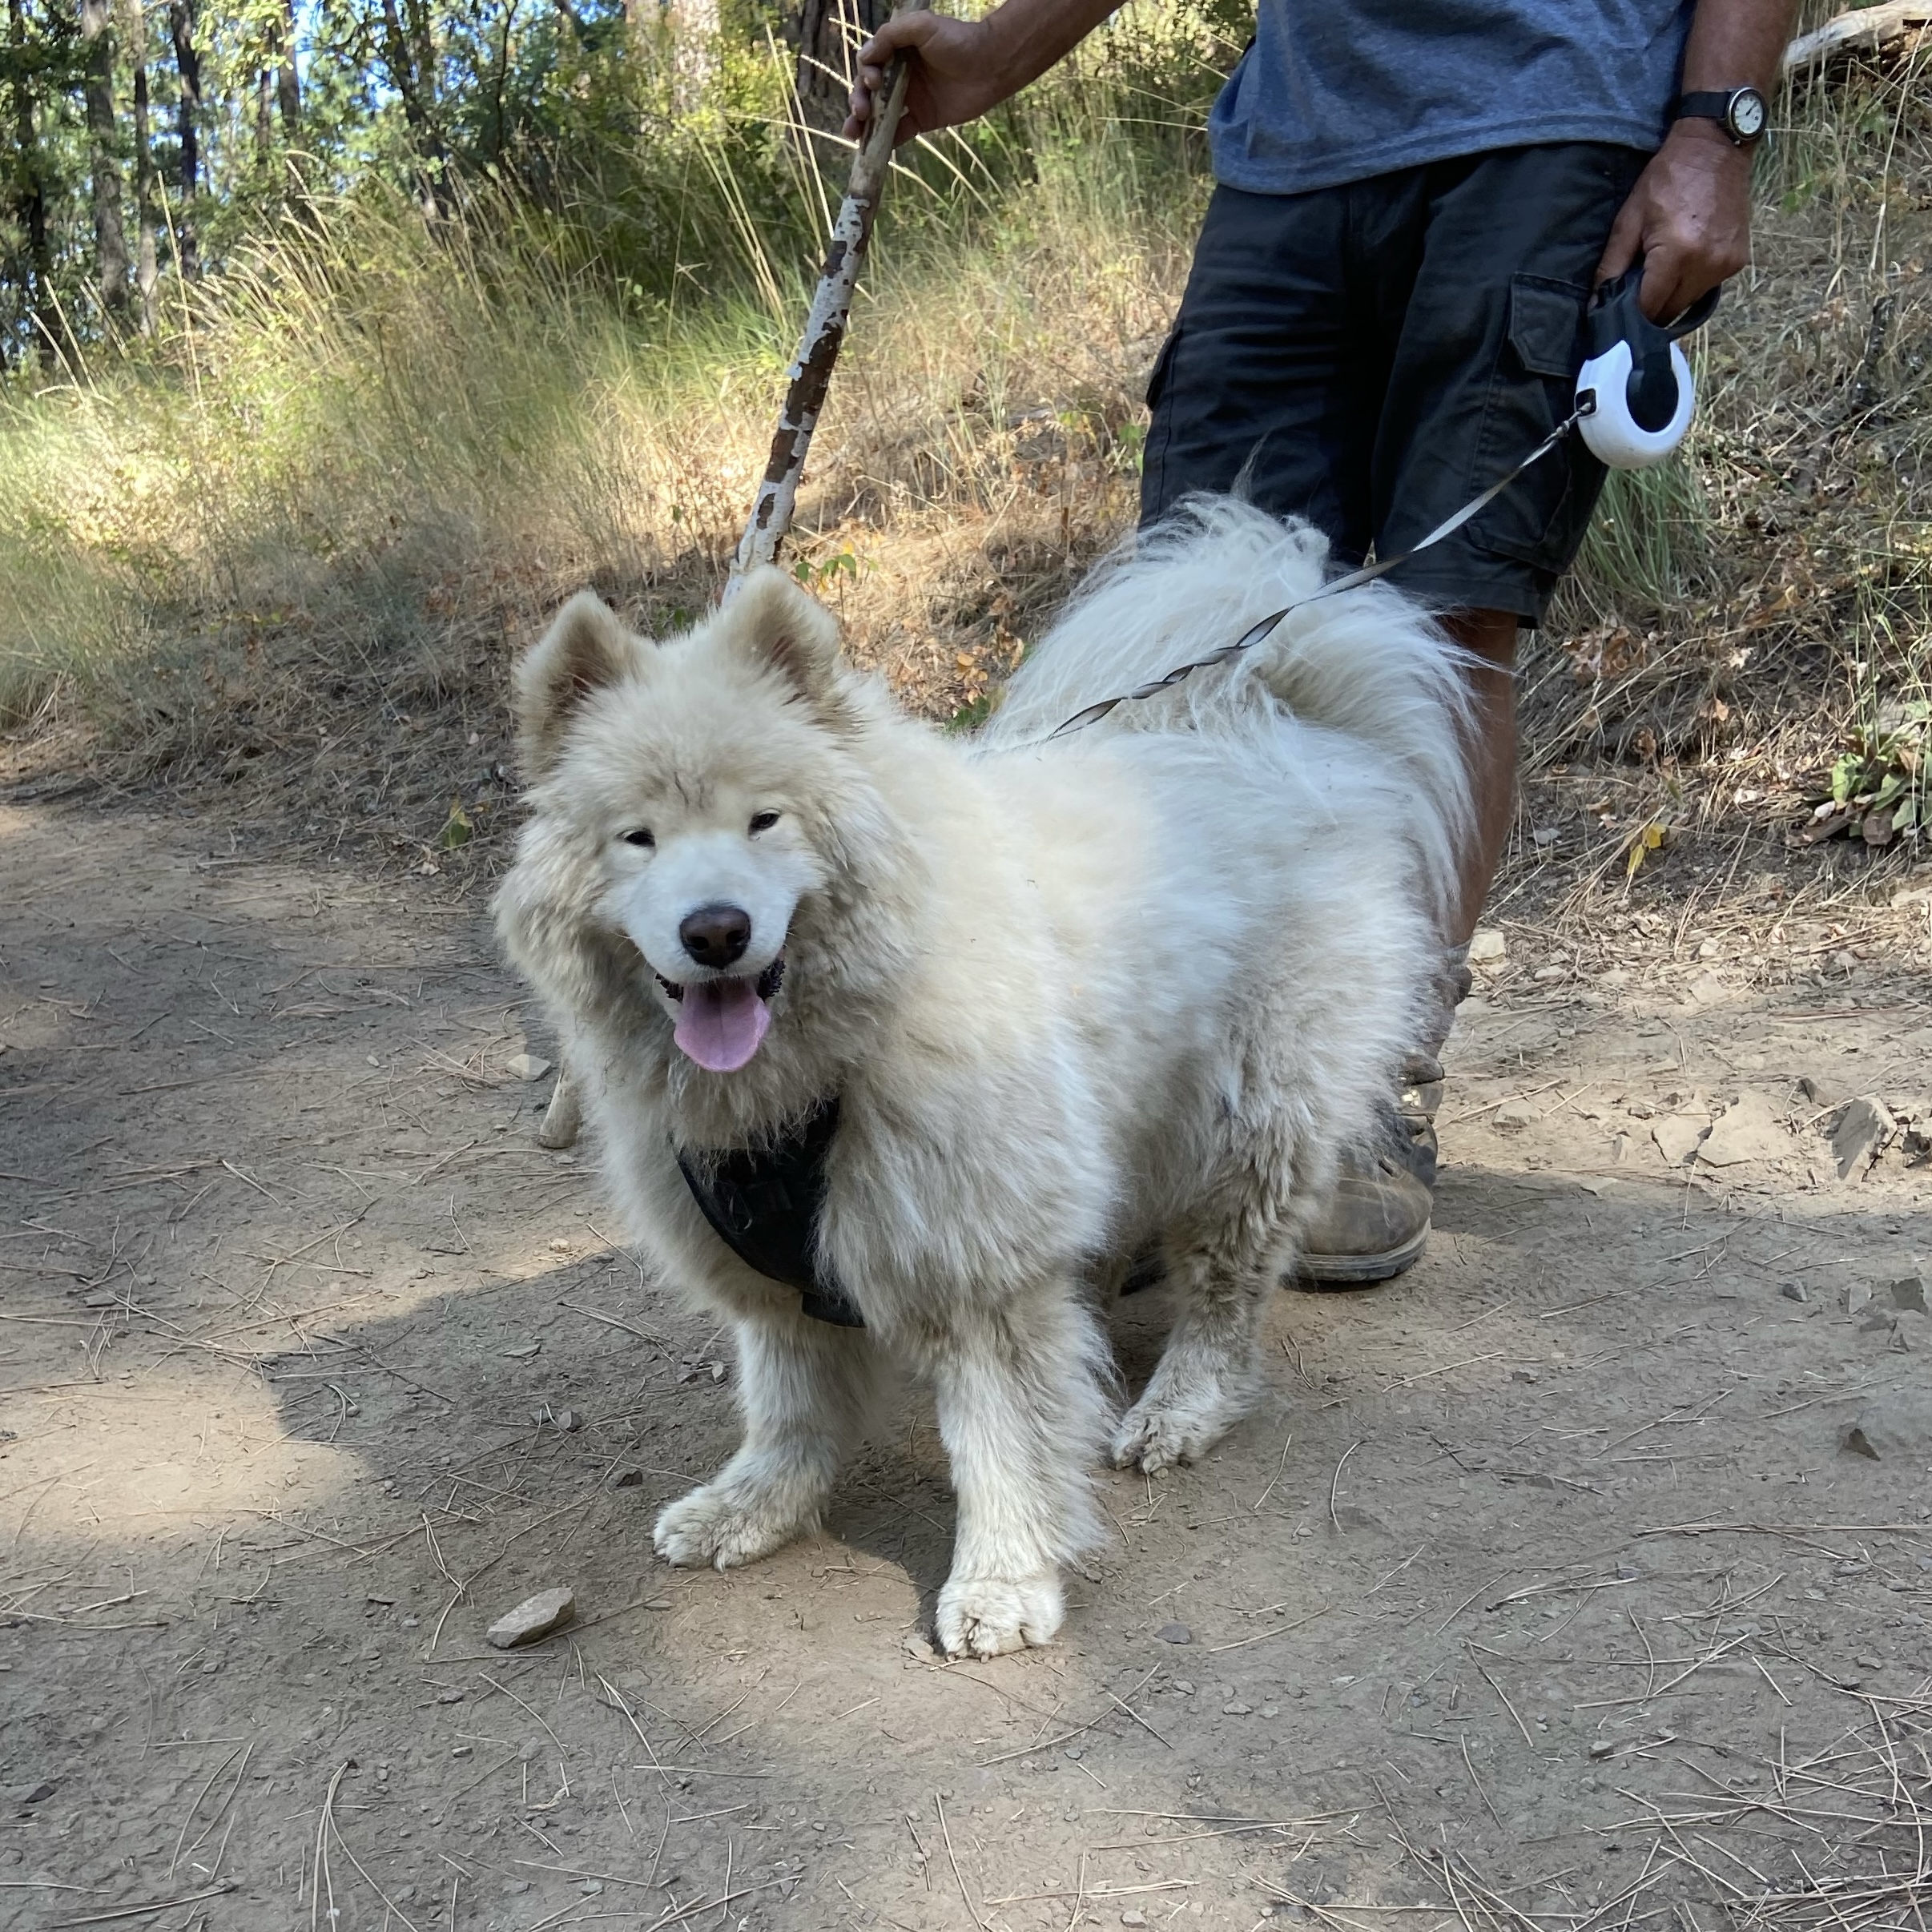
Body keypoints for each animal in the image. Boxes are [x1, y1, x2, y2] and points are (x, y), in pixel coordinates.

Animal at [494, 502, 1460, 1661]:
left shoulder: (974, 1263)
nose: (714, 929)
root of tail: (1283, 724)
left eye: (765, 820)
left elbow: (1002, 1442)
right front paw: (756, 1506)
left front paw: (1001, 1580)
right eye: (636, 838)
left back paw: (1178, 1409)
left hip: (1250, 1124)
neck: (819, 1068)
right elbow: (787, 1402)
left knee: (1226, 1295)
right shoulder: (770, 1272)